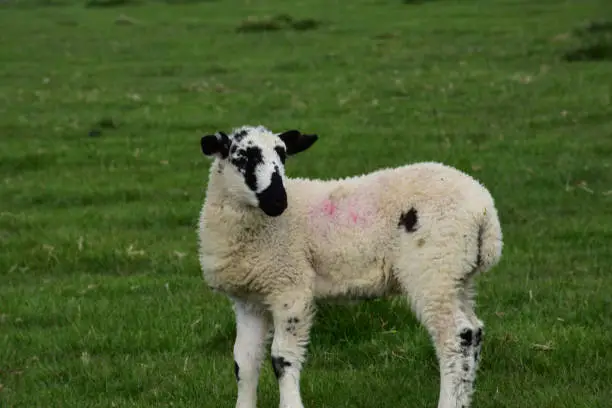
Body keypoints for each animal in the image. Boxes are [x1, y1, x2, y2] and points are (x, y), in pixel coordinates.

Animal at [198, 124, 504, 408]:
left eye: (283, 155)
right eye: (242, 157)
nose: (278, 201)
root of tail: (485, 211)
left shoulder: (290, 286)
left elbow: (281, 358)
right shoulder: (249, 300)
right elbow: (244, 362)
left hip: (433, 270)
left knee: (457, 337)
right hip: (457, 275)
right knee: (474, 332)